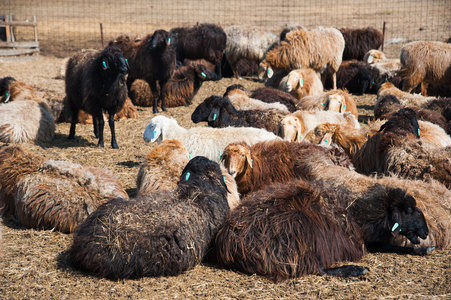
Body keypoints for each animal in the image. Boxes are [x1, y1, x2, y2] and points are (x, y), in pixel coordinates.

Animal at [215, 176, 430, 282]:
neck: (358, 215)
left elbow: (391, 246)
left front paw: (422, 249)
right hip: (298, 241)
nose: (426, 231)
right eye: (408, 210)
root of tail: (229, 243)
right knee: (315, 269)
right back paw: (356, 270)